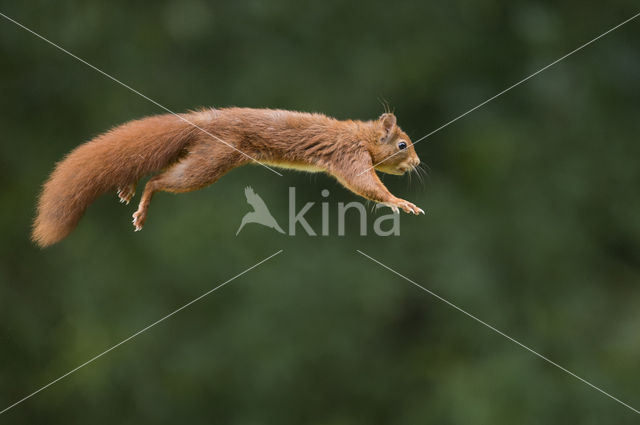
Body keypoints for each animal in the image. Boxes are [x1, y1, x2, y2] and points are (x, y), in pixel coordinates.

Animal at [33, 107, 424, 245]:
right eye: (403, 144)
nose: (418, 162)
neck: (360, 134)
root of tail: (204, 120)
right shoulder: (348, 155)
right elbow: (364, 184)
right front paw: (400, 201)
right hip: (210, 161)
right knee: (159, 180)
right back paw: (141, 206)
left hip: (203, 156)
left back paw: (126, 186)